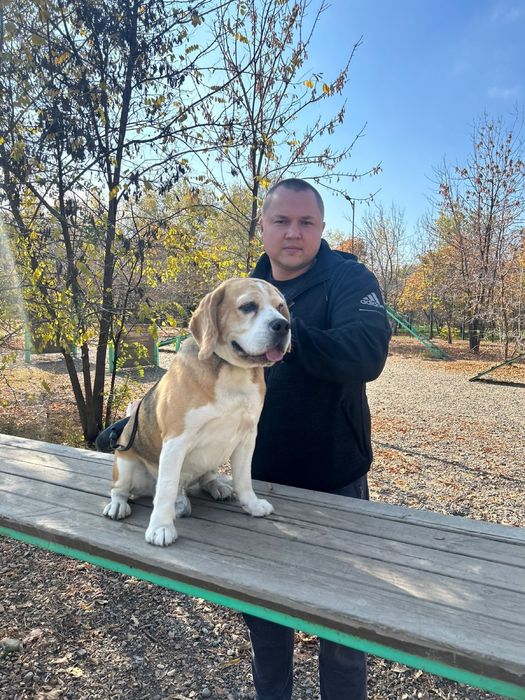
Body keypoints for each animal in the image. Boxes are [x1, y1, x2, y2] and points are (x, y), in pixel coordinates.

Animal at [103, 278, 291, 546]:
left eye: (280, 307)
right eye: (248, 306)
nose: (283, 325)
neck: (231, 370)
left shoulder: (247, 437)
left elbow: (244, 478)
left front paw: (252, 505)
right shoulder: (176, 440)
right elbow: (166, 488)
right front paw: (160, 527)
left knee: (203, 478)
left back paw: (216, 486)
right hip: (126, 465)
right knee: (121, 489)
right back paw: (118, 505)